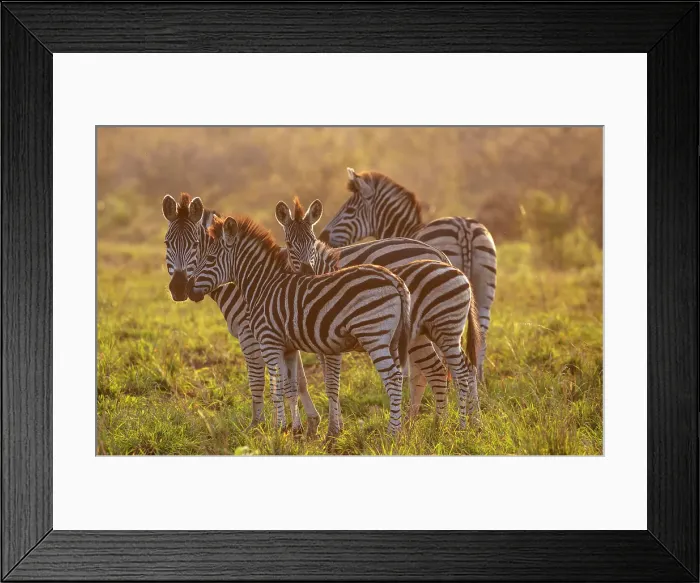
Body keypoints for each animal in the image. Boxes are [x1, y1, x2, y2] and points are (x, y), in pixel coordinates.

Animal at [187, 214, 412, 437]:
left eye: (210, 259)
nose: (189, 290)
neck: (264, 286)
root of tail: (393, 279)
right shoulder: (288, 348)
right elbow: (291, 385)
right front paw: (294, 430)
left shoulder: (269, 342)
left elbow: (276, 387)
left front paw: (278, 429)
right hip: (392, 340)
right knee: (399, 377)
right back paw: (400, 430)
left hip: (373, 335)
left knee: (392, 378)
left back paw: (392, 433)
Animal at [277, 197, 481, 427]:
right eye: (289, 244)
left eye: (312, 242)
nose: (307, 273)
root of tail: (440, 255)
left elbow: (316, 380)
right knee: (457, 368)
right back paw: (470, 422)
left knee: (440, 370)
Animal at [320, 168, 497, 381]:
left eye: (350, 211)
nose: (322, 237)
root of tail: (463, 228)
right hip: (483, 289)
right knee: (480, 333)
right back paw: (480, 379)